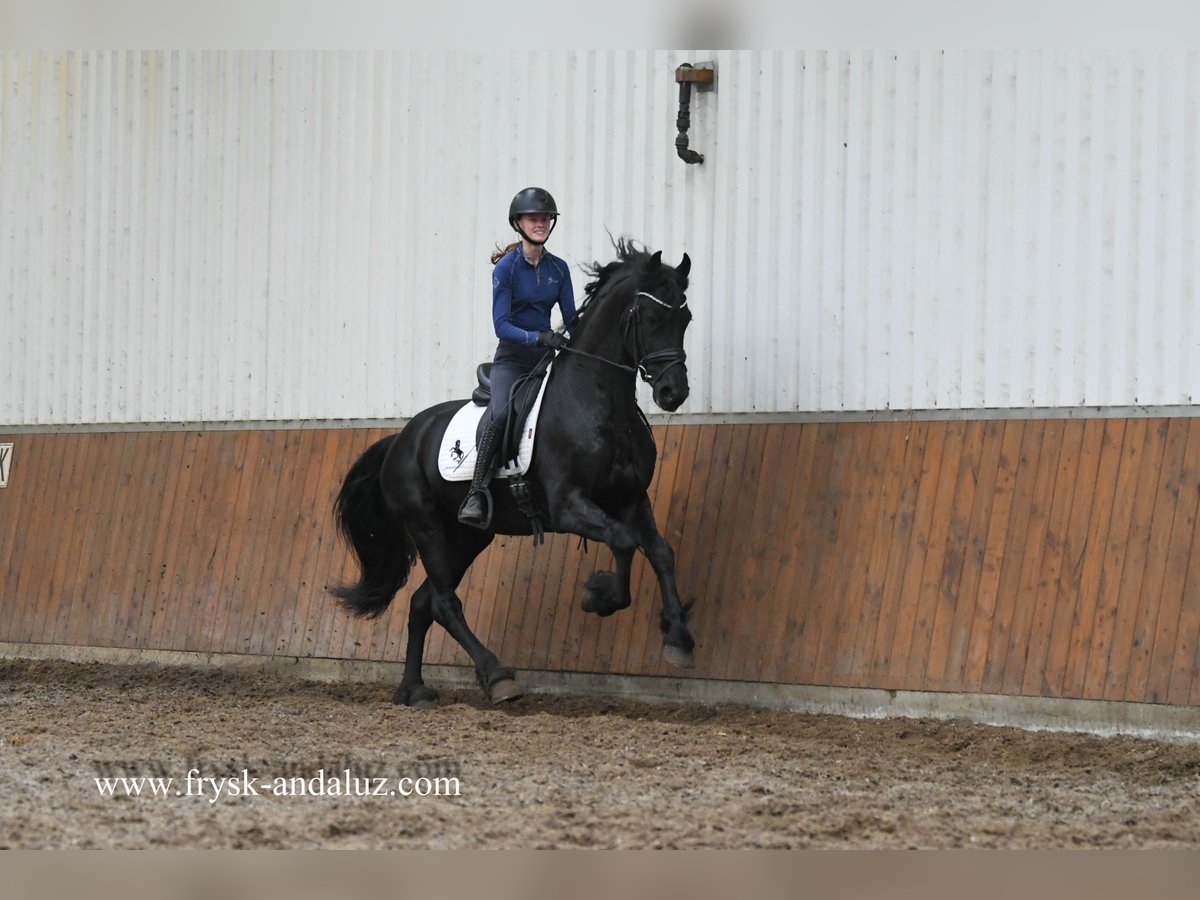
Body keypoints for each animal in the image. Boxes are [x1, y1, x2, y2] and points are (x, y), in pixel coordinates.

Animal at [333, 243, 700, 710]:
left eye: (685, 320)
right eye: (651, 319)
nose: (674, 393)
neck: (599, 401)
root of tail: (402, 438)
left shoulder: (631, 499)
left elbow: (661, 552)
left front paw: (678, 638)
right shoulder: (568, 506)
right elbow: (623, 541)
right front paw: (600, 595)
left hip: (467, 537)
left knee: (422, 602)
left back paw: (414, 689)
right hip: (427, 527)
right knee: (445, 603)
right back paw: (497, 676)